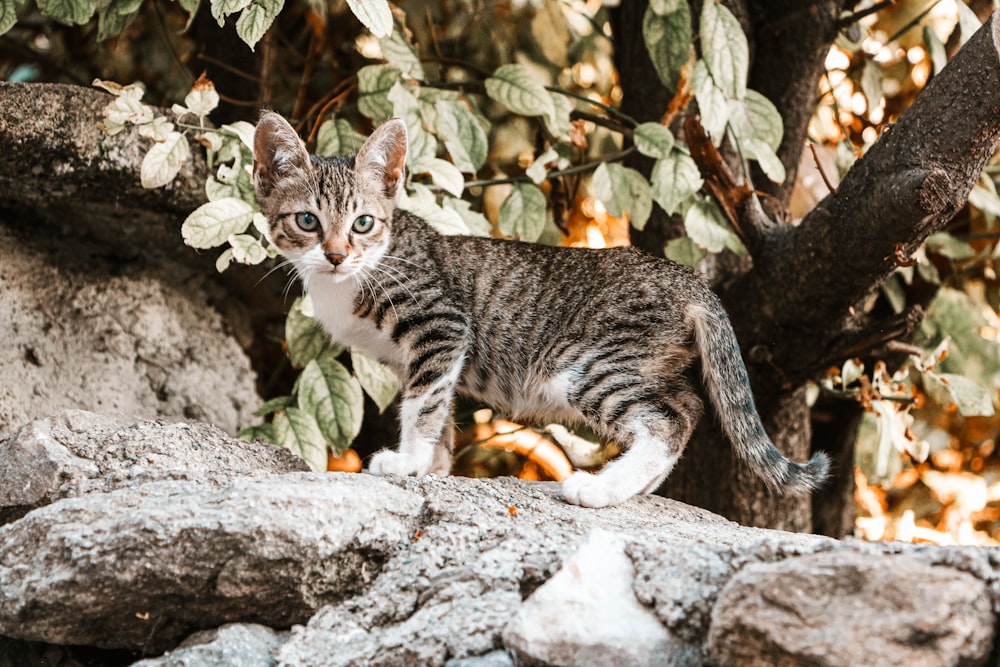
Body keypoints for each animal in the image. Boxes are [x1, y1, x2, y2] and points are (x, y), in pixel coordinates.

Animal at [252, 112, 828, 508]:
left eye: (363, 224)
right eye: (307, 220)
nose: (335, 254)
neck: (357, 276)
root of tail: (687, 278)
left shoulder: (441, 325)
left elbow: (423, 403)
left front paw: (407, 461)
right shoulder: (423, 354)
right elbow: (440, 409)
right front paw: (433, 467)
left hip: (585, 364)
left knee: (670, 418)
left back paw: (599, 490)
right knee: (685, 405)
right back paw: (635, 488)